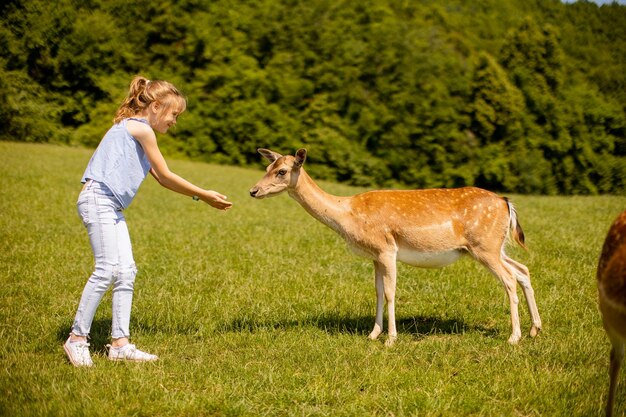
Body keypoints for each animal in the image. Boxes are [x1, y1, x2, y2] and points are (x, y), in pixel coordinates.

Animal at [249, 148, 540, 346]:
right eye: (267, 166)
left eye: (281, 171)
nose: (253, 191)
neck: (348, 215)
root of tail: (506, 203)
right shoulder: (375, 255)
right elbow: (378, 292)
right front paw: (372, 334)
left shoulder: (387, 249)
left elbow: (390, 293)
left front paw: (390, 339)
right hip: (494, 246)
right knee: (523, 269)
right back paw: (535, 329)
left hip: (484, 246)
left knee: (509, 278)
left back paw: (514, 337)